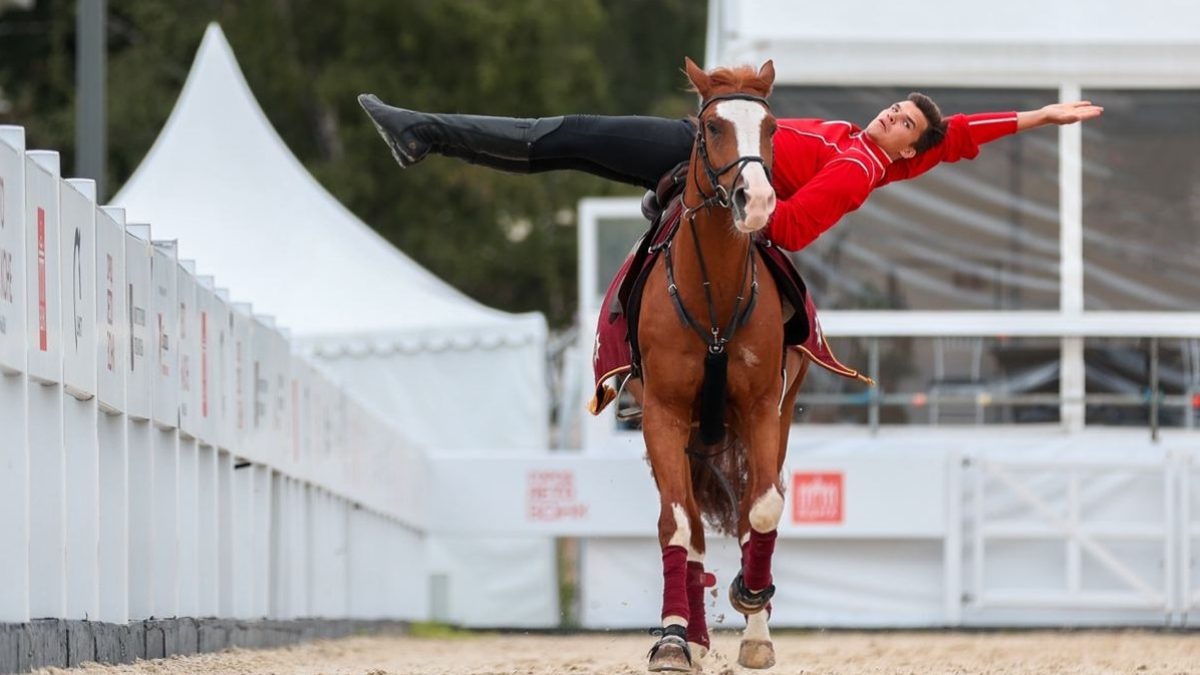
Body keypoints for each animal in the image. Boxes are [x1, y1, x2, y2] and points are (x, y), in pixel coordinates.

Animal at [643, 57, 811, 667]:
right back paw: (690, 634)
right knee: (689, 526)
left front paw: (752, 604)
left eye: (772, 128)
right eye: (712, 126)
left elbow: (760, 510)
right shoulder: (662, 414)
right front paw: (673, 639)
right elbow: (677, 526)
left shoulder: (761, 410)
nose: (755, 199)